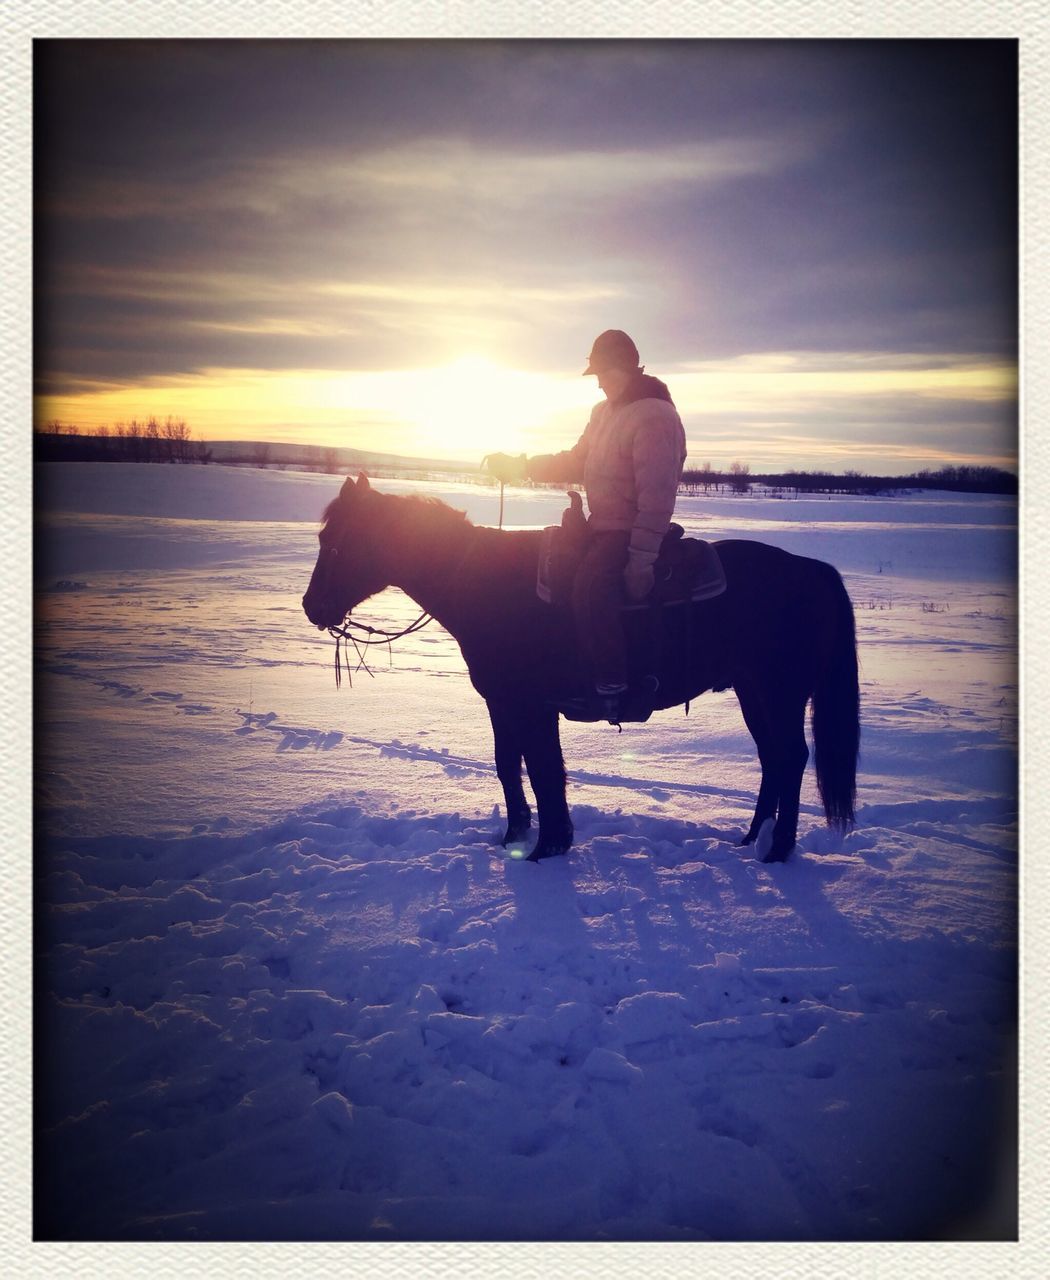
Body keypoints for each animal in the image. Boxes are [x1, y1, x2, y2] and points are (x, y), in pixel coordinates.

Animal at [299, 476, 855, 865]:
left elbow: (546, 771)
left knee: (790, 757)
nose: (311, 607)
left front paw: (547, 848)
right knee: (772, 760)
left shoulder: (533, 706)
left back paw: (777, 851)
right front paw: (517, 837)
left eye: (339, 542)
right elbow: (510, 765)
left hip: (779, 692)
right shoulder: (502, 703)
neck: (486, 584)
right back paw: (751, 840)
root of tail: (811, 569)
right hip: (751, 691)